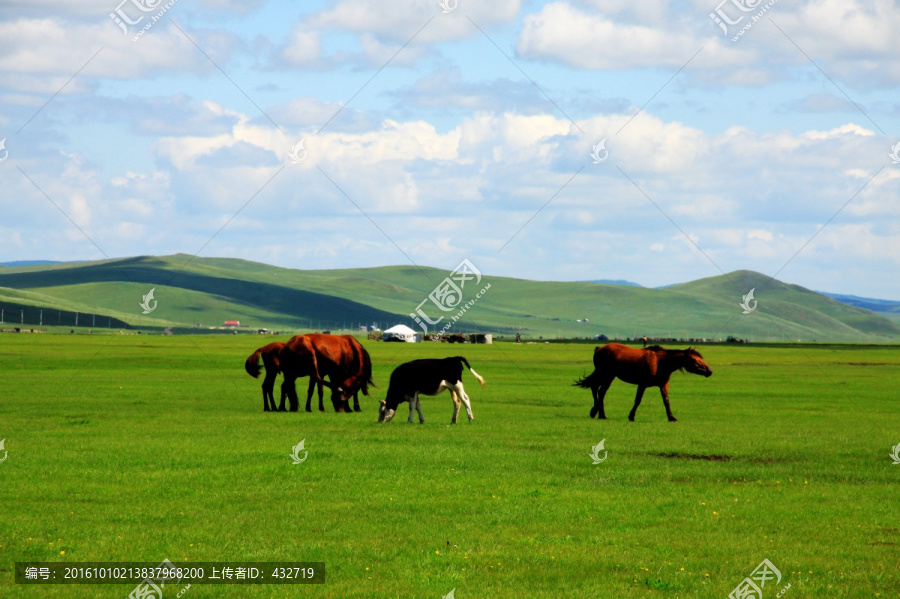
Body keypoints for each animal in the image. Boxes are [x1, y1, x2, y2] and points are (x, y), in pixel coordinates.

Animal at [576, 344, 712, 424]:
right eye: (694, 360)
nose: (710, 371)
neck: (661, 362)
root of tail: (599, 348)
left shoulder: (663, 385)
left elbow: (666, 401)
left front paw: (671, 417)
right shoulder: (642, 384)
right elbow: (638, 400)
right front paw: (631, 416)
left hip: (608, 376)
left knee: (598, 390)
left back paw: (598, 413)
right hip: (606, 375)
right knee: (597, 389)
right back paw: (599, 413)